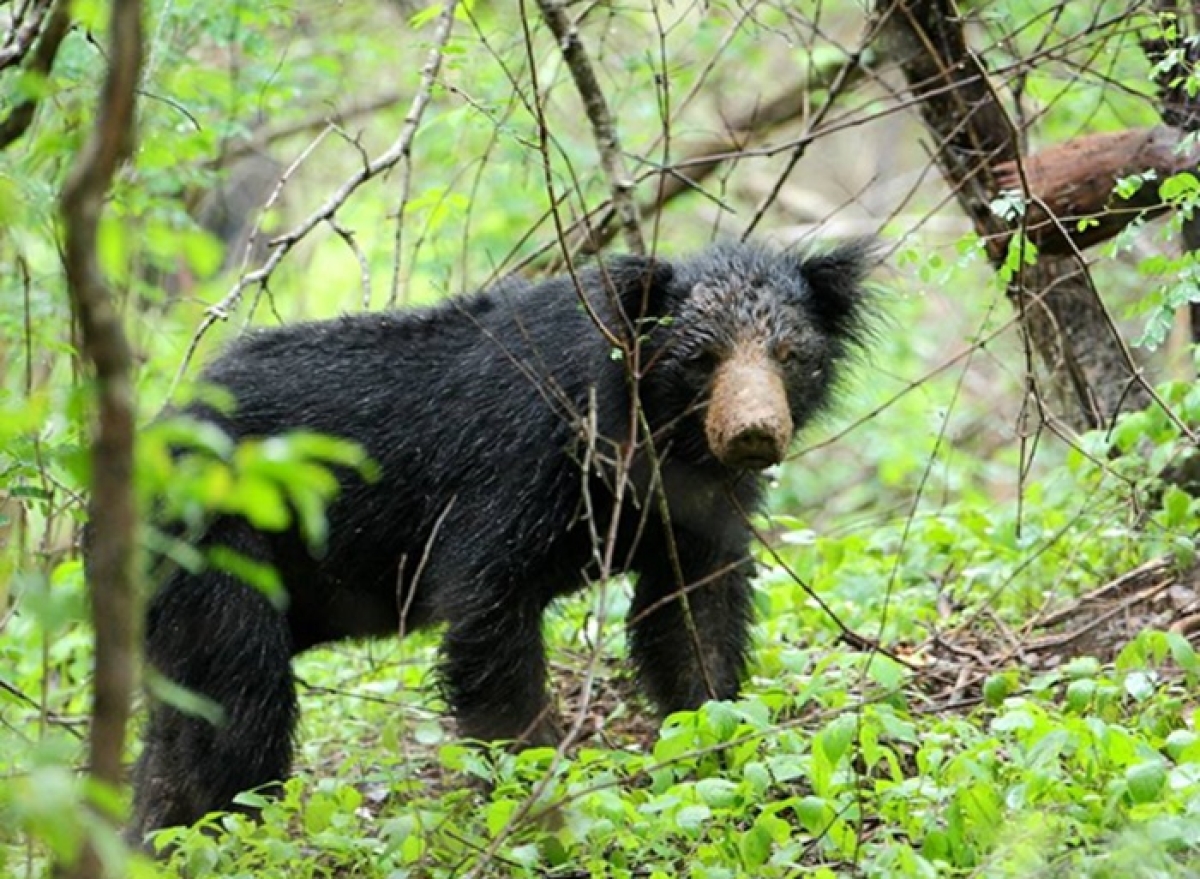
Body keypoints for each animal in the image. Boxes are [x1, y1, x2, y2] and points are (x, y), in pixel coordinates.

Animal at [131, 238, 878, 835]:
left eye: (791, 355)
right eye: (702, 359)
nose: (753, 431)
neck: (656, 440)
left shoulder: (697, 508)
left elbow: (694, 620)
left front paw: (723, 748)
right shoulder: (519, 465)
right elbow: (489, 610)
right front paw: (537, 790)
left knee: (174, 734)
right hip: (220, 551)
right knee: (239, 707)